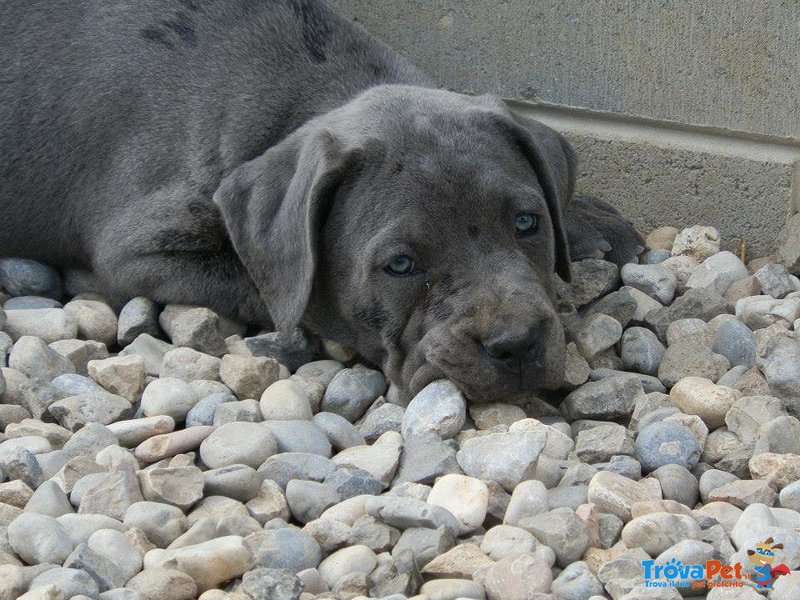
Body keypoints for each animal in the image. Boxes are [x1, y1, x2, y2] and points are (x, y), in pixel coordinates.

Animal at [0, 1, 636, 404]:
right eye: (400, 265)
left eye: (528, 222)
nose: (517, 344)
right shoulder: (138, 249)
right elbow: (268, 286)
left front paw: (587, 220)